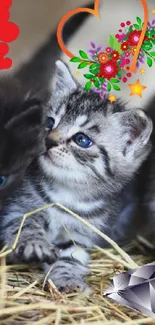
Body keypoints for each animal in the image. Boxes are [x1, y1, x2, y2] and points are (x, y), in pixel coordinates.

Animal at [0, 60, 153, 292]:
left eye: (82, 140)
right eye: (50, 123)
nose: (49, 141)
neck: (67, 193)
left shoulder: (80, 234)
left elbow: (71, 256)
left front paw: (67, 279)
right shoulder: (16, 207)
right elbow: (23, 224)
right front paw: (35, 243)